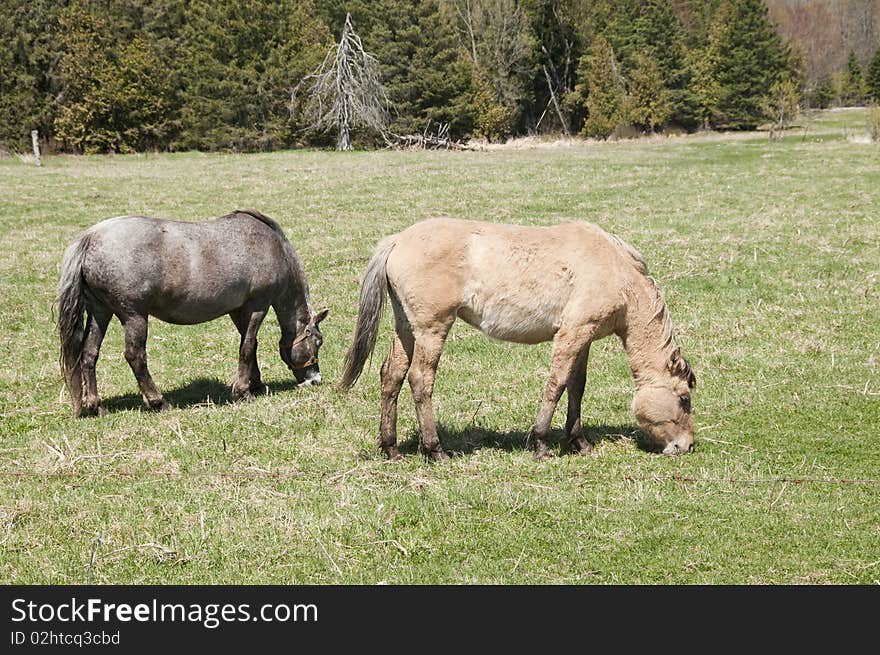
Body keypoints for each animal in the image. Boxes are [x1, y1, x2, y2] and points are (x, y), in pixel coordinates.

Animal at [55, 208, 330, 418]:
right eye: (318, 341)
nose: (315, 379)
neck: (272, 246)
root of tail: (91, 238)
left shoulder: (238, 310)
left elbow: (249, 346)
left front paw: (257, 384)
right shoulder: (257, 305)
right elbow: (248, 346)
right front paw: (243, 391)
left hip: (101, 312)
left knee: (89, 354)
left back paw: (96, 406)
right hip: (134, 317)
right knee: (135, 356)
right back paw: (158, 402)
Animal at [340, 219, 696, 462]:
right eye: (684, 399)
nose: (687, 445)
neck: (617, 273)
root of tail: (397, 241)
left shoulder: (585, 338)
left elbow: (576, 387)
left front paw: (579, 442)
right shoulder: (573, 333)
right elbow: (556, 385)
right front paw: (540, 443)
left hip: (406, 327)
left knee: (392, 376)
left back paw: (391, 448)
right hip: (431, 328)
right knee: (420, 380)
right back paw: (435, 449)